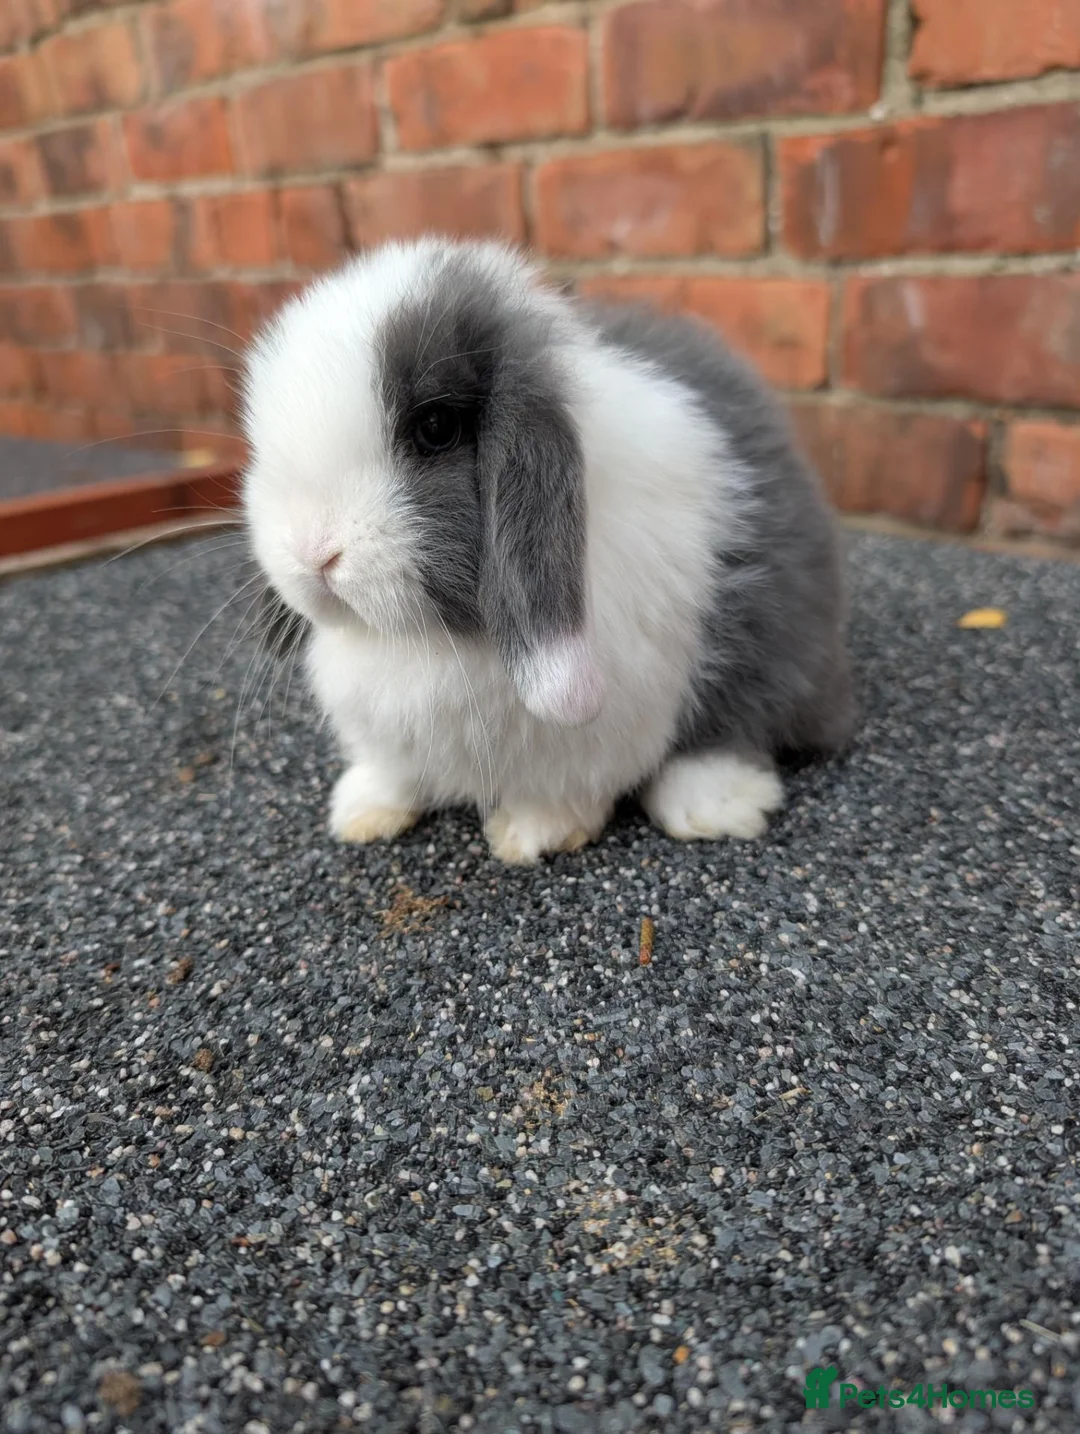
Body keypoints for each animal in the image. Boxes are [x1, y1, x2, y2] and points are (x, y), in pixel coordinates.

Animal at [241, 237, 853, 865]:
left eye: (435, 427)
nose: (312, 553)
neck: (426, 640)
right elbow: (394, 774)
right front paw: (361, 812)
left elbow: (567, 786)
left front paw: (531, 833)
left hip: (772, 636)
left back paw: (711, 807)